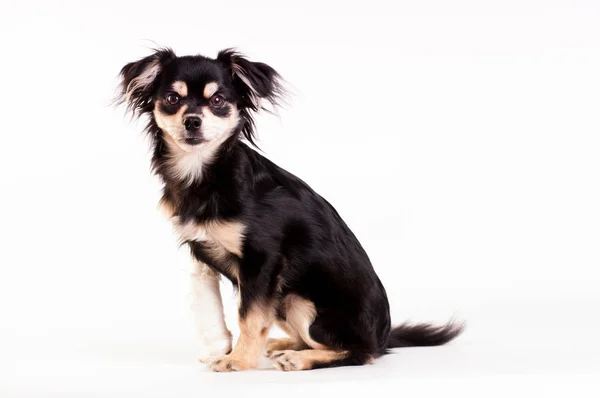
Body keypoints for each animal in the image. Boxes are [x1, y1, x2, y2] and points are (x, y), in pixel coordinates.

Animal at [117, 48, 464, 372]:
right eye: (172, 99)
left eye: (217, 100)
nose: (192, 121)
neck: (206, 173)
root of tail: (383, 336)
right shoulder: (201, 253)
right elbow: (223, 310)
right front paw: (230, 351)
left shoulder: (262, 259)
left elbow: (249, 317)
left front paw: (238, 360)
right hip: (284, 298)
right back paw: (282, 344)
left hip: (299, 300)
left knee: (360, 353)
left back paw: (299, 358)